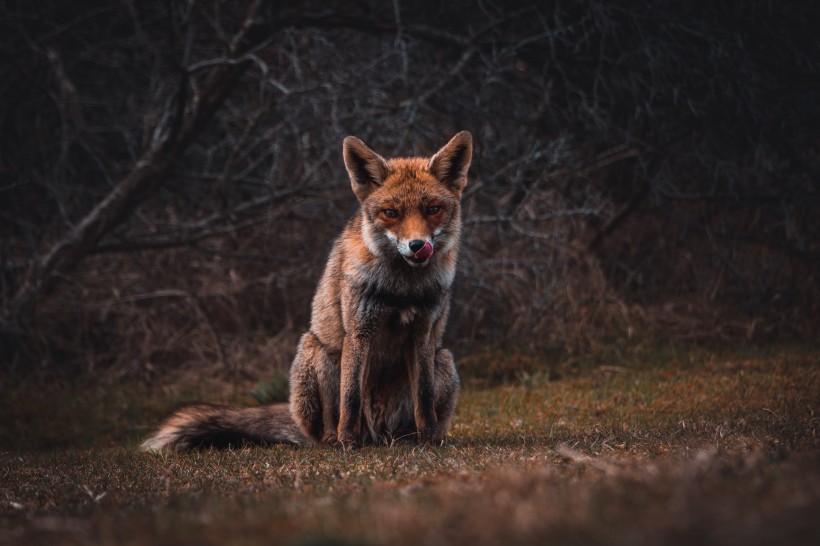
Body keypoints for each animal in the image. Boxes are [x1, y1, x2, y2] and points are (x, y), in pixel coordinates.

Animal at [143, 130, 474, 448]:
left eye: (432, 209)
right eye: (391, 213)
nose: (418, 245)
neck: (402, 289)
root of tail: (378, 434)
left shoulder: (423, 333)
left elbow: (424, 398)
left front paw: (431, 440)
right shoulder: (359, 330)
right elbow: (350, 397)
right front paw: (347, 444)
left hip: (443, 359)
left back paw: (409, 436)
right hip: (318, 352)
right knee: (331, 420)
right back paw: (336, 439)